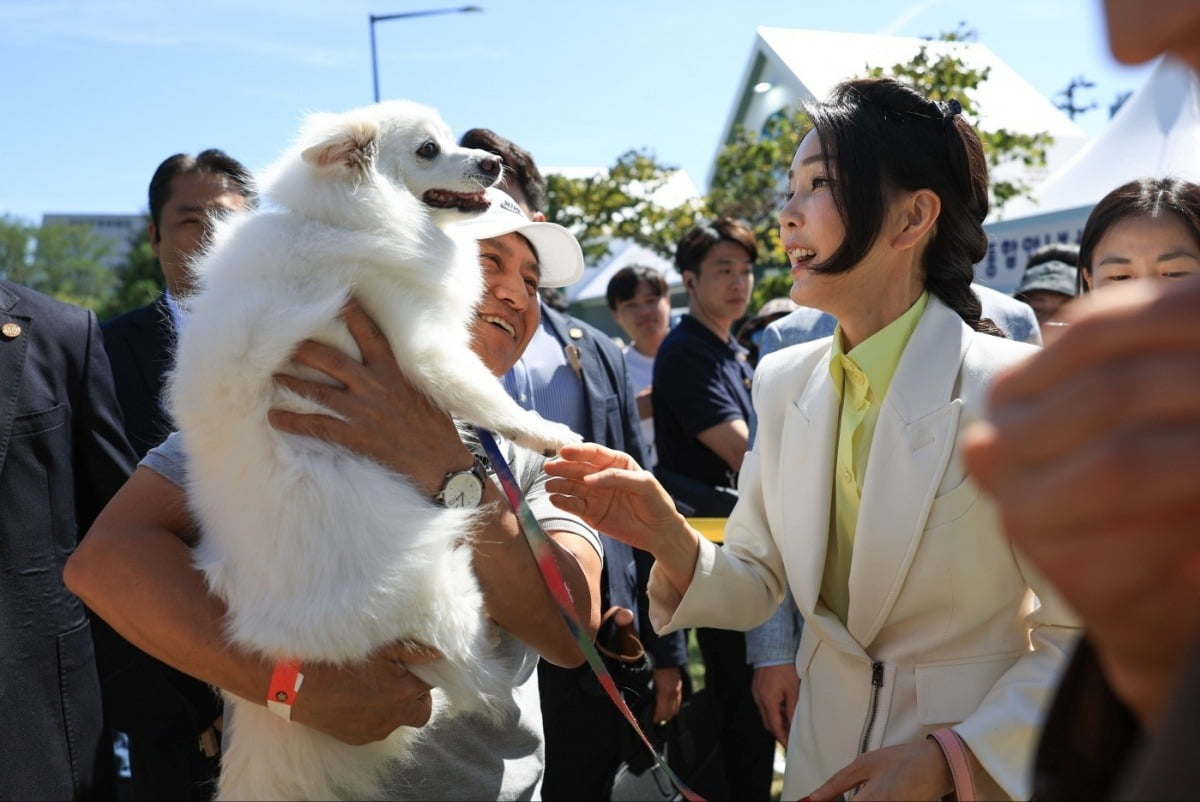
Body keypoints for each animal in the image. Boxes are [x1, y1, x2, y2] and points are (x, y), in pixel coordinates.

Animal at [169, 102, 580, 802]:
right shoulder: (423, 346)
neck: (345, 217)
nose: (491, 164)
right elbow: (488, 398)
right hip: (445, 586)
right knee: (467, 665)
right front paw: (549, 431)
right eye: (427, 150)